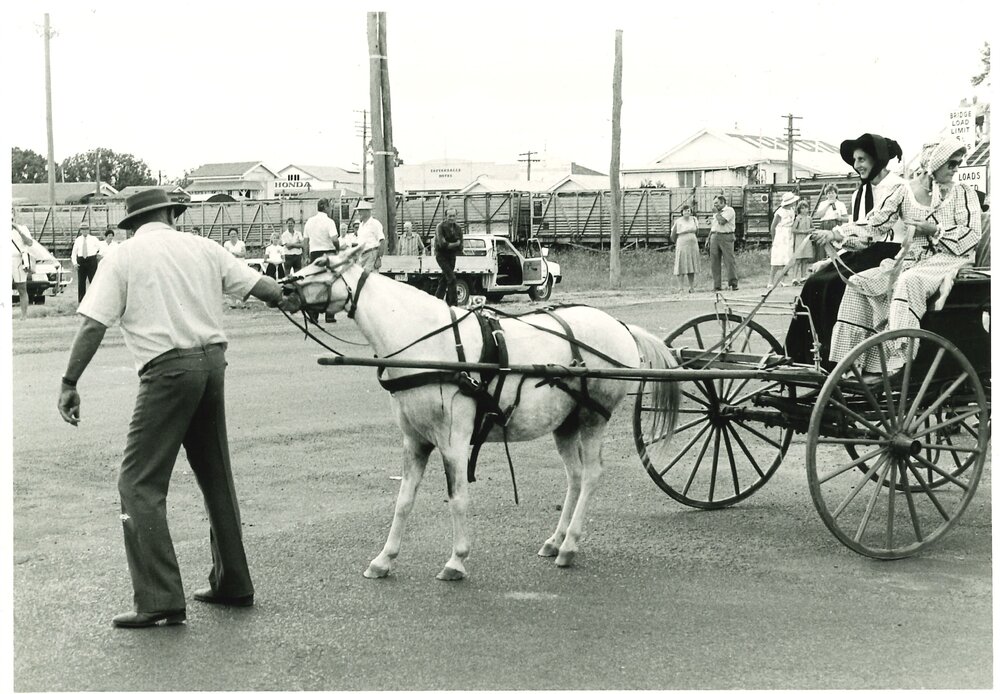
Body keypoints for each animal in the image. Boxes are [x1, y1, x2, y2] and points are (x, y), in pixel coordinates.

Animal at [280, 245, 680, 580]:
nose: (282, 288)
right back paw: (556, 540)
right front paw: (384, 559)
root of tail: (620, 326)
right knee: (577, 476)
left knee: (593, 474)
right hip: (564, 423)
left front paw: (457, 560)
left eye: (322, 263)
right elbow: (403, 501)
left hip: (592, 417)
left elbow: (457, 498)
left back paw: (569, 545)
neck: (427, 342)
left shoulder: (453, 442)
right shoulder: (414, 441)